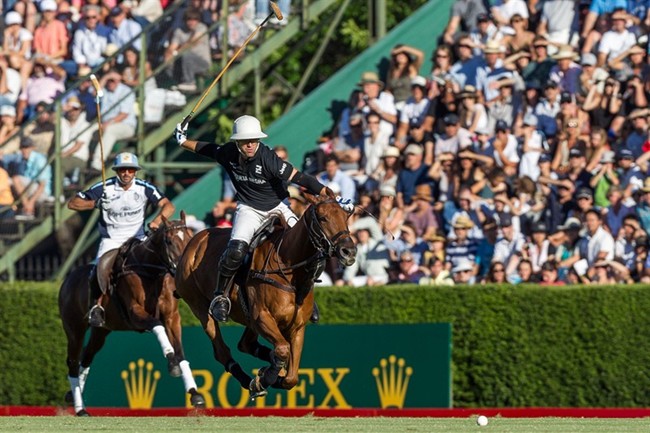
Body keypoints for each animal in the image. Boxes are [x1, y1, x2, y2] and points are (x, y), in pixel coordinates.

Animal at [60, 213, 205, 416]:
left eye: (190, 236)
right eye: (169, 241)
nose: (181, 270)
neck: (151, 272)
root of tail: (67, 280)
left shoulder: (172, 317)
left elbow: (181, 352)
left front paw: (194, 393)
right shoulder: (135, 313)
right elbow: (158, 328)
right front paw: (171, 362)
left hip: (101, 331)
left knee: (87, 357)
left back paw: (72, 395)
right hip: (74, 329)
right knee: (73, 362)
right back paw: (80, 409)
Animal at [173, 192, 354, 398]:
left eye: (346, 216)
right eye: (323, 218)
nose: (349, 251)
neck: (289, 269)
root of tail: (195, 241)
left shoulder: (297, 326)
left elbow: (292, 377)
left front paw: (270, 375)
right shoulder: (262, 317)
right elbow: (283, 350)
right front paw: (262, 380)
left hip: (248, 318)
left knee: (246, 344)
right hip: (200, 307)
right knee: (222, 350)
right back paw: (248, 379)